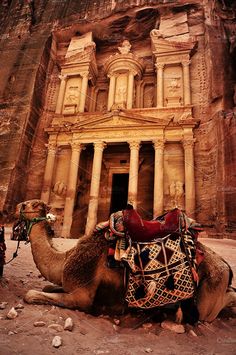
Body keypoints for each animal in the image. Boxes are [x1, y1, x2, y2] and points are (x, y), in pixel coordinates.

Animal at [15, 200, 236, 322]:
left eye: (27, 204)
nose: (16, 206)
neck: (65, 258)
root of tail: (226, 266)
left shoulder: (81, 294)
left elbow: (30, 294)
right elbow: (48, 287)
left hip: (209, 295)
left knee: (221, 302)